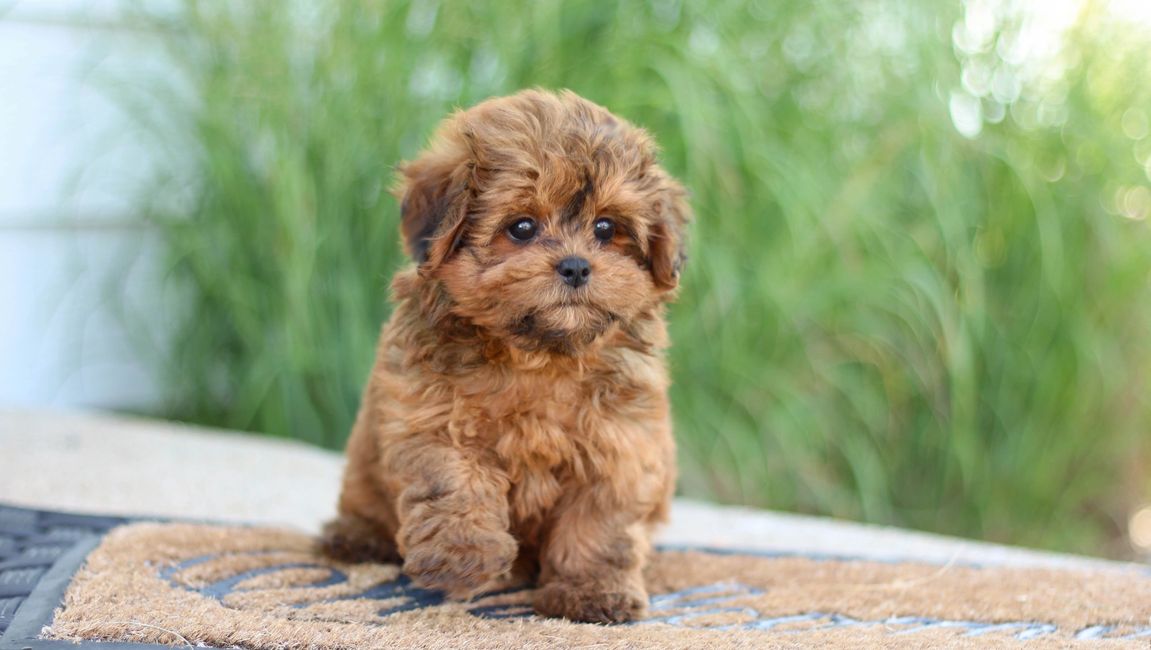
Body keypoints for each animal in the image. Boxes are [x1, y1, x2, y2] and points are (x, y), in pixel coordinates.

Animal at [319, 88, 685, 621]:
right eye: (522, 227)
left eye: (604, 227)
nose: (576, 266)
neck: (538, 355)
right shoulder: (432, 415)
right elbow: (455, 481)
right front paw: (463, 559)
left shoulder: (620, 445)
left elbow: (599, 526)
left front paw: (592, 590)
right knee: (363, 501)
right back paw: (357, 537)